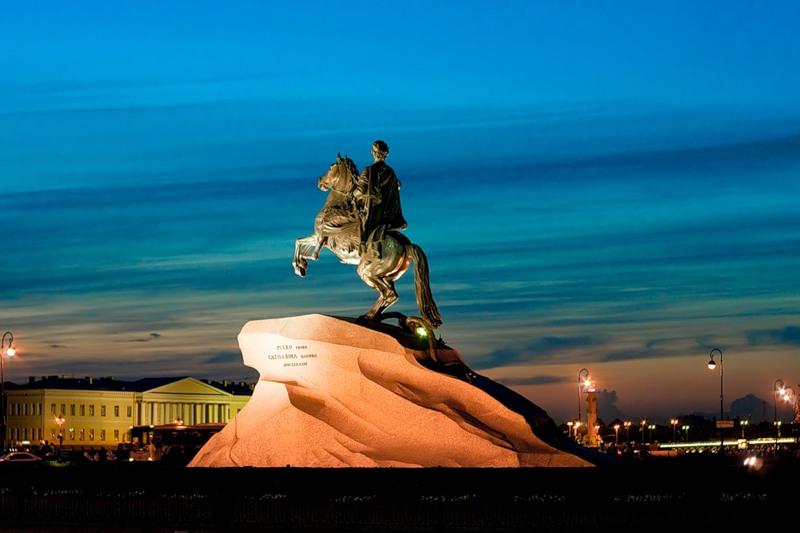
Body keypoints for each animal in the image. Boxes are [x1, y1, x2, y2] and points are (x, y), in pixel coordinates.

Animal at [294, 153, 444, 328]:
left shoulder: (319, 236)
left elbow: (303, 246)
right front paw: (301, 266)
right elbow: (301, 243)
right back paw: (372, 316)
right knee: (389, 294)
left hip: (367, 271)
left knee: (389, 294)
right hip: (386, 275)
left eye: (331, 166)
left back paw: (369, 317)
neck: (337, 205)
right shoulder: (318, 237)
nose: (320, 181)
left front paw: (300, 265)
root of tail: (406, 245)